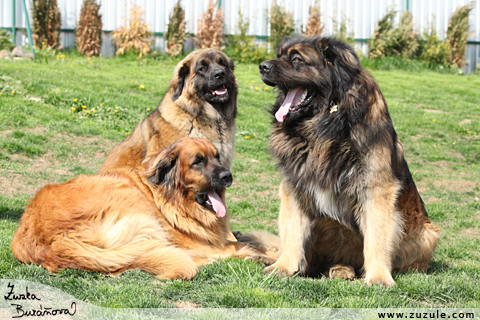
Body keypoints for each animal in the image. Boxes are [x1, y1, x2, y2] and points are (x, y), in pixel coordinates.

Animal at [11, 139, 276, 278]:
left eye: (216, 156)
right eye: (198, 162)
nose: (227, 176)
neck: (172, 198)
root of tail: (48, 241)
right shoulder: (199, 242)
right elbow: (238, 245)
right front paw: (263, 255)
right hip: (135, 208)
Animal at [258, 37, 438, 284]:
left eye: (296, 59)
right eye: (278, 55)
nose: (262, 66)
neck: (324, 125)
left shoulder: (375, 189)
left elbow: (376, 238)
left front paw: (379, 277)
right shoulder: (295, 186)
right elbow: (292, 232)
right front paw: (282, 267)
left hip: (427, 234)